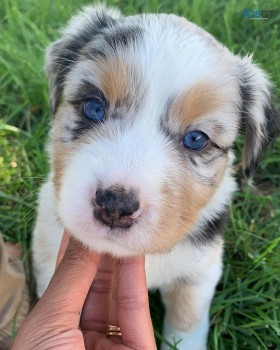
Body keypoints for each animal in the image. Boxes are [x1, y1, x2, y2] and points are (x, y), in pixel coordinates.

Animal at [32, 4, 278, 348]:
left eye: (196, 139)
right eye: (93, 108)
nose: (115, 206)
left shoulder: (200, 272)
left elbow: (187, 323)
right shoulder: (46, 248)